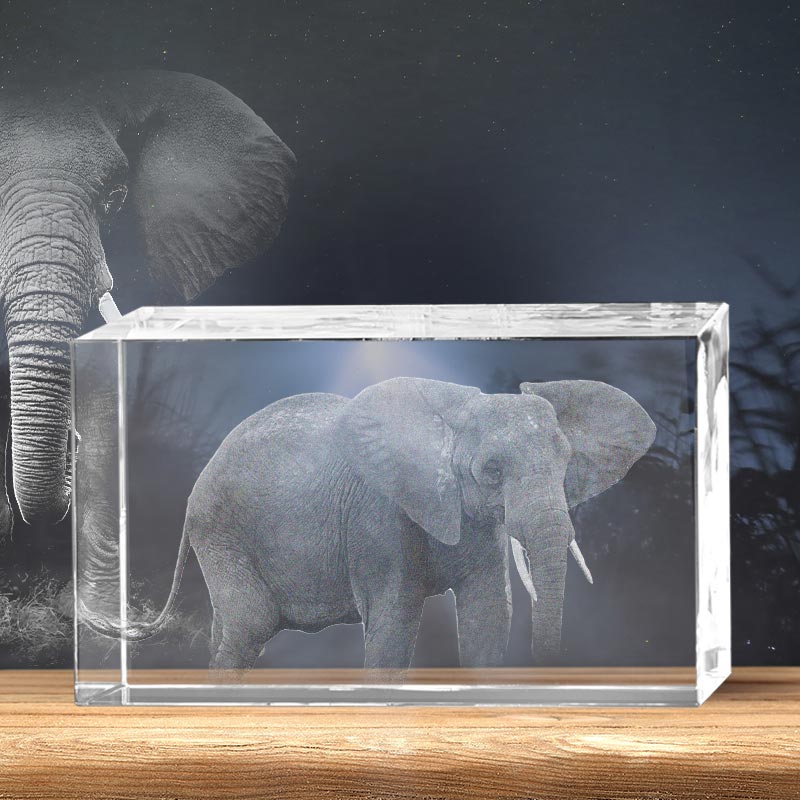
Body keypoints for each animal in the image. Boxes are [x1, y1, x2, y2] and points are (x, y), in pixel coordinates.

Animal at [82, 375, 656, 671]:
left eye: (566, 463)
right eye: (491, 471)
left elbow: (490, 617)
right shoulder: (378, 514)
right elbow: (393, 623)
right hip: (221, 529)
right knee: (249, 626)